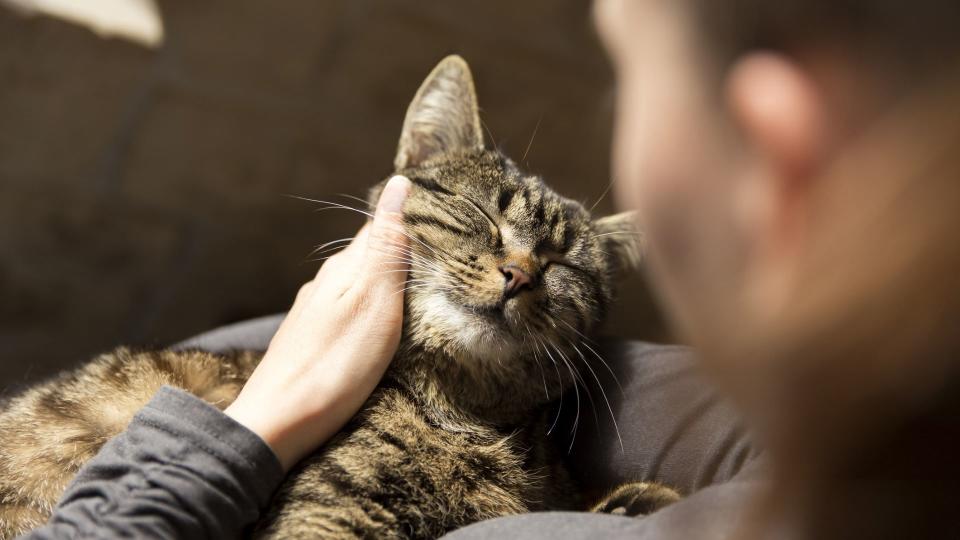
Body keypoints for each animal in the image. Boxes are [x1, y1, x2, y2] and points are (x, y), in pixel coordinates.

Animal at [0, 56, 676, 540]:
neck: (466, 415)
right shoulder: (329, 509)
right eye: (481, 213)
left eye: (563, 265)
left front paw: (638, 504)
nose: (519, 274)